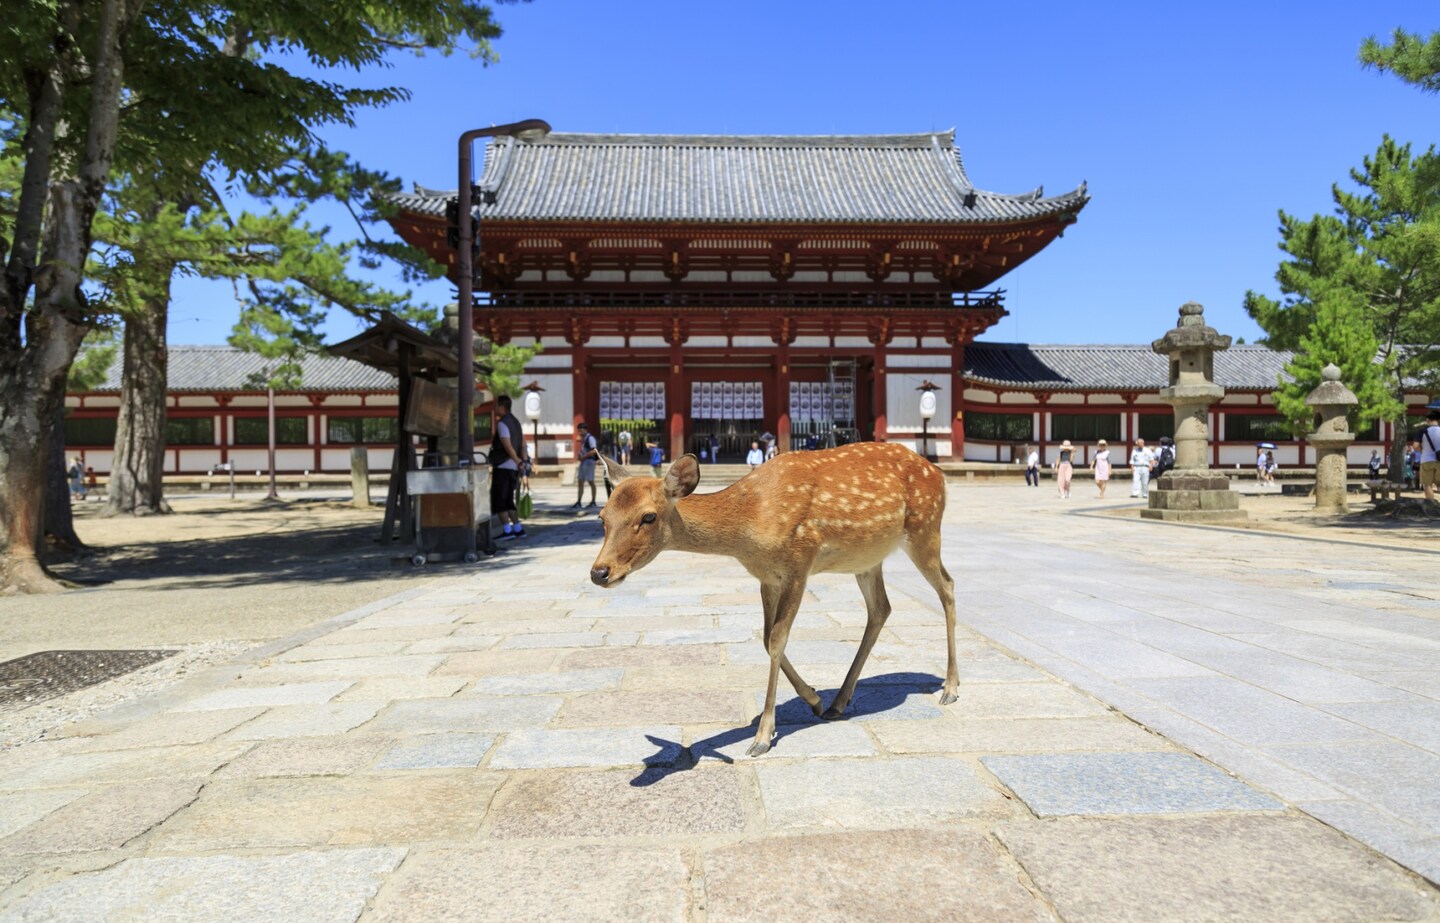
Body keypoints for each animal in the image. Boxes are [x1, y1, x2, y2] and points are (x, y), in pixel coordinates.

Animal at [584, 440, 956, 754]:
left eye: (648, 516)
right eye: (602, 517)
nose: (599, 572)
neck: (749, 524)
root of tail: (938, 473)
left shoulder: (799, 563)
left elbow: (777, 639)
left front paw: (762, 736)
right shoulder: (767, 576)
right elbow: (765, 638)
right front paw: (814, 700)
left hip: (925, 529)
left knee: (948, 587)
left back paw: (950, 688)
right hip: (867, 559)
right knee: (881, 608)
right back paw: (838, 702)